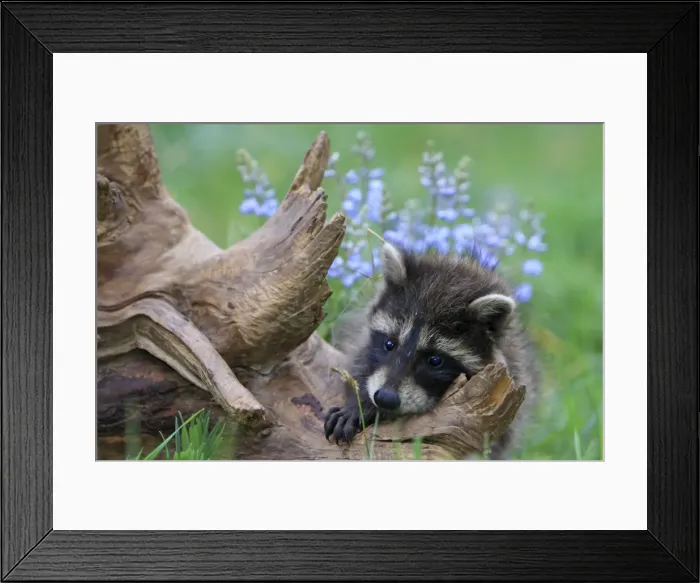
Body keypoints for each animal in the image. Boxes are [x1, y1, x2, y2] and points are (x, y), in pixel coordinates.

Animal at [323, 241, 540, 458]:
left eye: (435, 361)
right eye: (389, 344)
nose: (385, 398)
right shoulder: (362, 342)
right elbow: (359, 365)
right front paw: (359, 403)